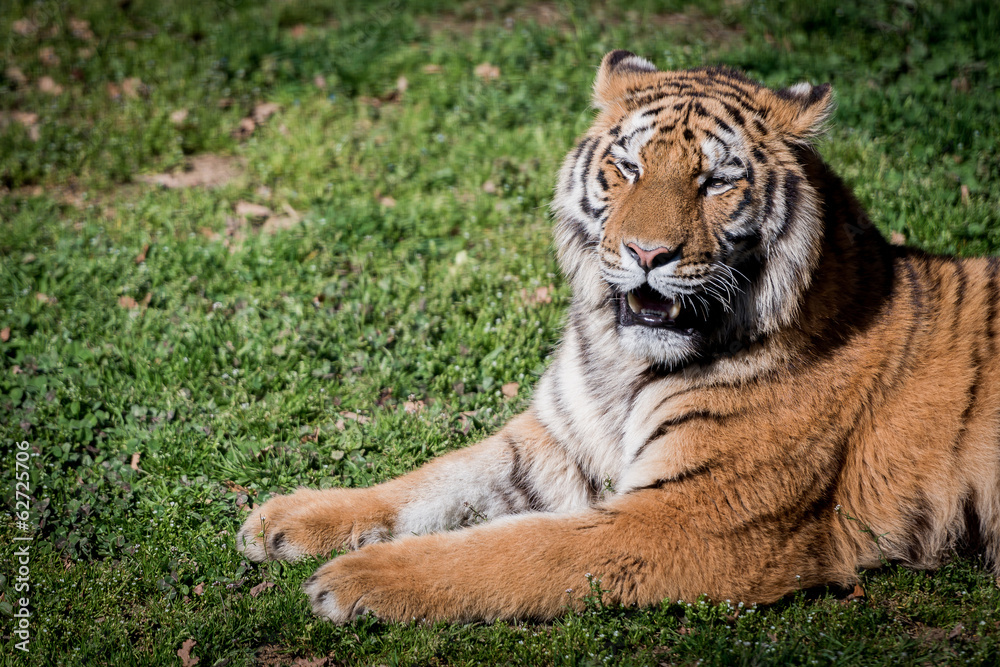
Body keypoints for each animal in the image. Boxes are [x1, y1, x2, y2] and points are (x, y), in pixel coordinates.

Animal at [236, 50, 1000, 623]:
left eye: (716, 181)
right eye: (629, 168)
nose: (647, 253)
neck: (622, 363)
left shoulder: (695, 516)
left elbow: (517, 549)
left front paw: (357, 579)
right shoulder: (552, 442)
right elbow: (432, 479)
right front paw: (285, 517)